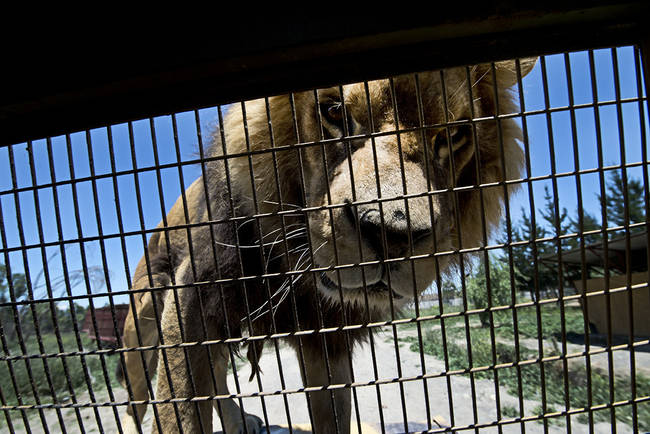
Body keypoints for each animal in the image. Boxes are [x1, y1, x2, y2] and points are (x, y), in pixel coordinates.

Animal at [116, 58, 536, 434]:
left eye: (452, 136)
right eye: (334, 112)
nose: (392, 234)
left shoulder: (329, 339)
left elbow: (333, 417)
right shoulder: (194, 297)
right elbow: (179, 412)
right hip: (142, 319)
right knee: (137, 396)